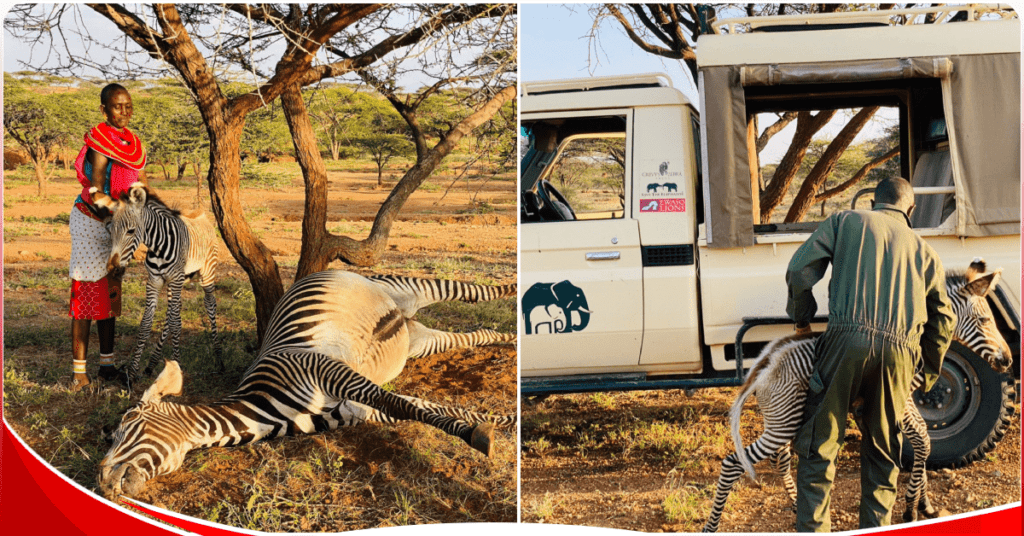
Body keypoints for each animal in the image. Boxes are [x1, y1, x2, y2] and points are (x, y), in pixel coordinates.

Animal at [97, 182, 220, 383]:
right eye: (110, 230)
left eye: (131, 231)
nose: (113, 269)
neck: (158, 247)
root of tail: (200, 213)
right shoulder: (154, 281)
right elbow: (146, 324)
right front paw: (132, 372)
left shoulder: (176, 279)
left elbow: (176, 324)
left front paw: (178, 368)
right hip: (176, 281)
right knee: (173, 311)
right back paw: (152, 364)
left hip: (207, 272)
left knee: (209, 304)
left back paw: (219, 358)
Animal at [98, 270, 516, 502]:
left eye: (128, 428)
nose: (102, 481)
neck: (268, 406)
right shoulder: (353, 412)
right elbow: (421, 406)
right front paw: (499, 422)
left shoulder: (325, 368)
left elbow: (405, 404)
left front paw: (480, 432)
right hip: (417, 339)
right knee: (471, 336)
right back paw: (507, 337)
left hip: (409, 287)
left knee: (473, 291)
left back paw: (513, 287)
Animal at [679, 261, 1015, 532]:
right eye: (986, 321)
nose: (1009, 360)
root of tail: (764, 363)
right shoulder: (899, 400)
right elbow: (922, 441)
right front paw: (911, 508)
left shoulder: (905, 403)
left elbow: (923, 440)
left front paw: (923, 503)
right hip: (782, 423)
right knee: (734, 463)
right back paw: (712, 526)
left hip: (783, 419)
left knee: (780, 458)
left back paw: (796, 505)